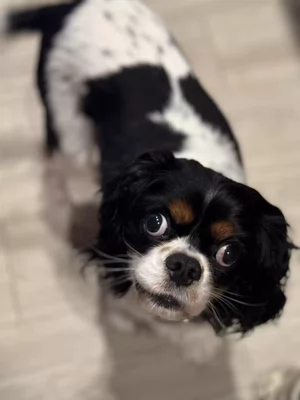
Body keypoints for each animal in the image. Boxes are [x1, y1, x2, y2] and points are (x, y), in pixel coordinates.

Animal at [4, 0, 296, 360]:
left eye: (229, 253)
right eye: (155, 223)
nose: (184, 265)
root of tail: (72, 6)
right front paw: (124, 320)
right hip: (67, 121)